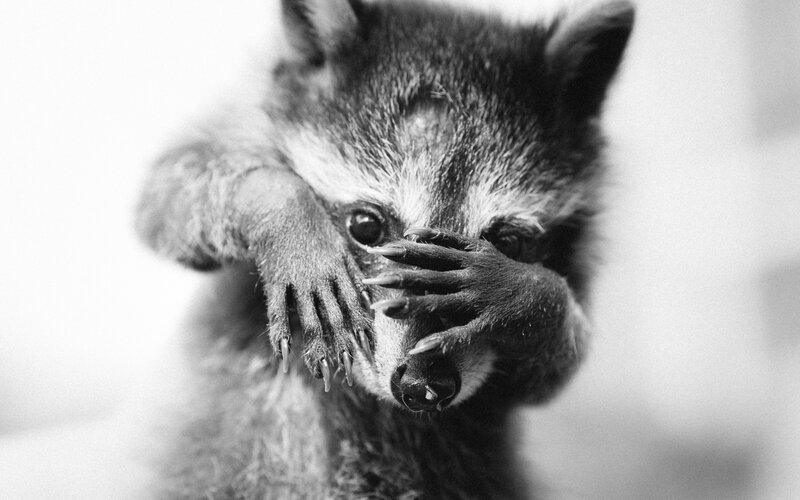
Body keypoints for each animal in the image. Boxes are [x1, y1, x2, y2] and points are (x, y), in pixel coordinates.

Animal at [136, 0, 634, 498]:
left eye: (508, 243)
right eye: (366, 227)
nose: (423, 386)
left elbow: (556, 365)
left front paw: (523, 293)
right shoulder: (245, 126)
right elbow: (168, 196)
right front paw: (287, 217)